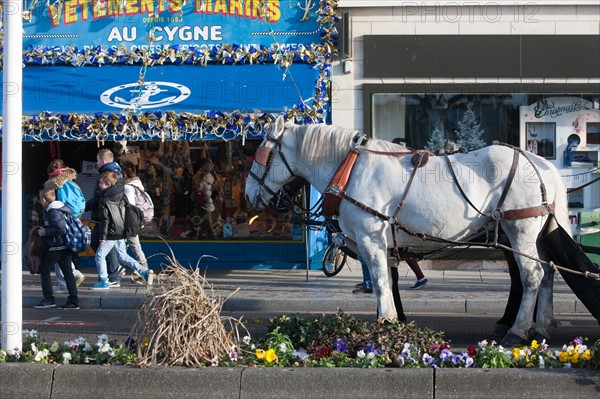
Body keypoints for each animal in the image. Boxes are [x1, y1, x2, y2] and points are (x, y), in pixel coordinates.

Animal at [246, 115, 568, 344]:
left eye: (261, 155)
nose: (248, 196)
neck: (349, 168)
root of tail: (538, 162)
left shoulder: (370, 238)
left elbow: (379, 281)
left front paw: (386, 322)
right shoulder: (385, 244)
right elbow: (389, 282)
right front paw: (394, 320)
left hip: (519, 229)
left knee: (531, 276)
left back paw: (518, 330)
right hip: (533, 235)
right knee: (547, 272)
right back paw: (542, 326)